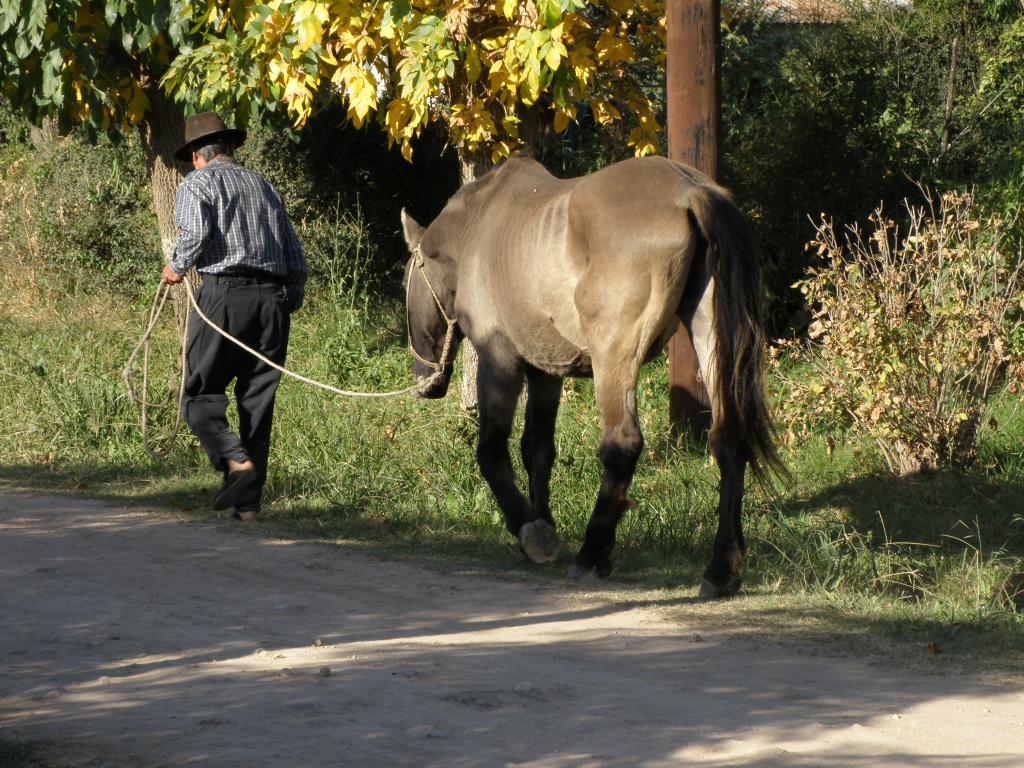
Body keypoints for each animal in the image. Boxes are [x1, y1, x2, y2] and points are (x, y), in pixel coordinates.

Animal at [401, 156, 782, 598]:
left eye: (406, 282)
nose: (425, 381)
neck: (478, 231)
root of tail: (691, 190)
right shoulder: (545, 372)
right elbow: (537, 449)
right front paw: (542, 523)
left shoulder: (499, 361)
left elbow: (491, 451)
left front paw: (529, 530)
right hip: (711, 337)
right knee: (728, 442)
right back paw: (721, 569)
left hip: (615, 360)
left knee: (622, 445)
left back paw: (591, 554)